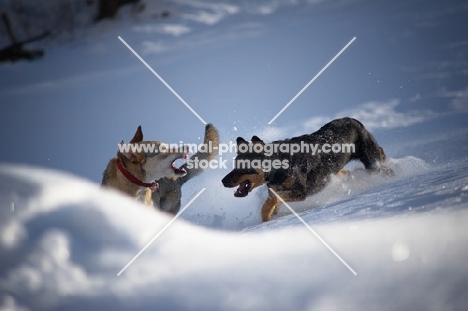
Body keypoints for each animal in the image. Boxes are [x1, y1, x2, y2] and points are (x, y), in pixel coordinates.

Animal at [221, 117, 394, 222]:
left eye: (243, 166)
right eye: (234, 165)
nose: (222, 181)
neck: (279, 166)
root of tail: (355, 120)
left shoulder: (300, 192)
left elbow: (272, 200)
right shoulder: (278, 189)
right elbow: (272, 201)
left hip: (372, 163)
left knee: (381, 161)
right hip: (335, 170)